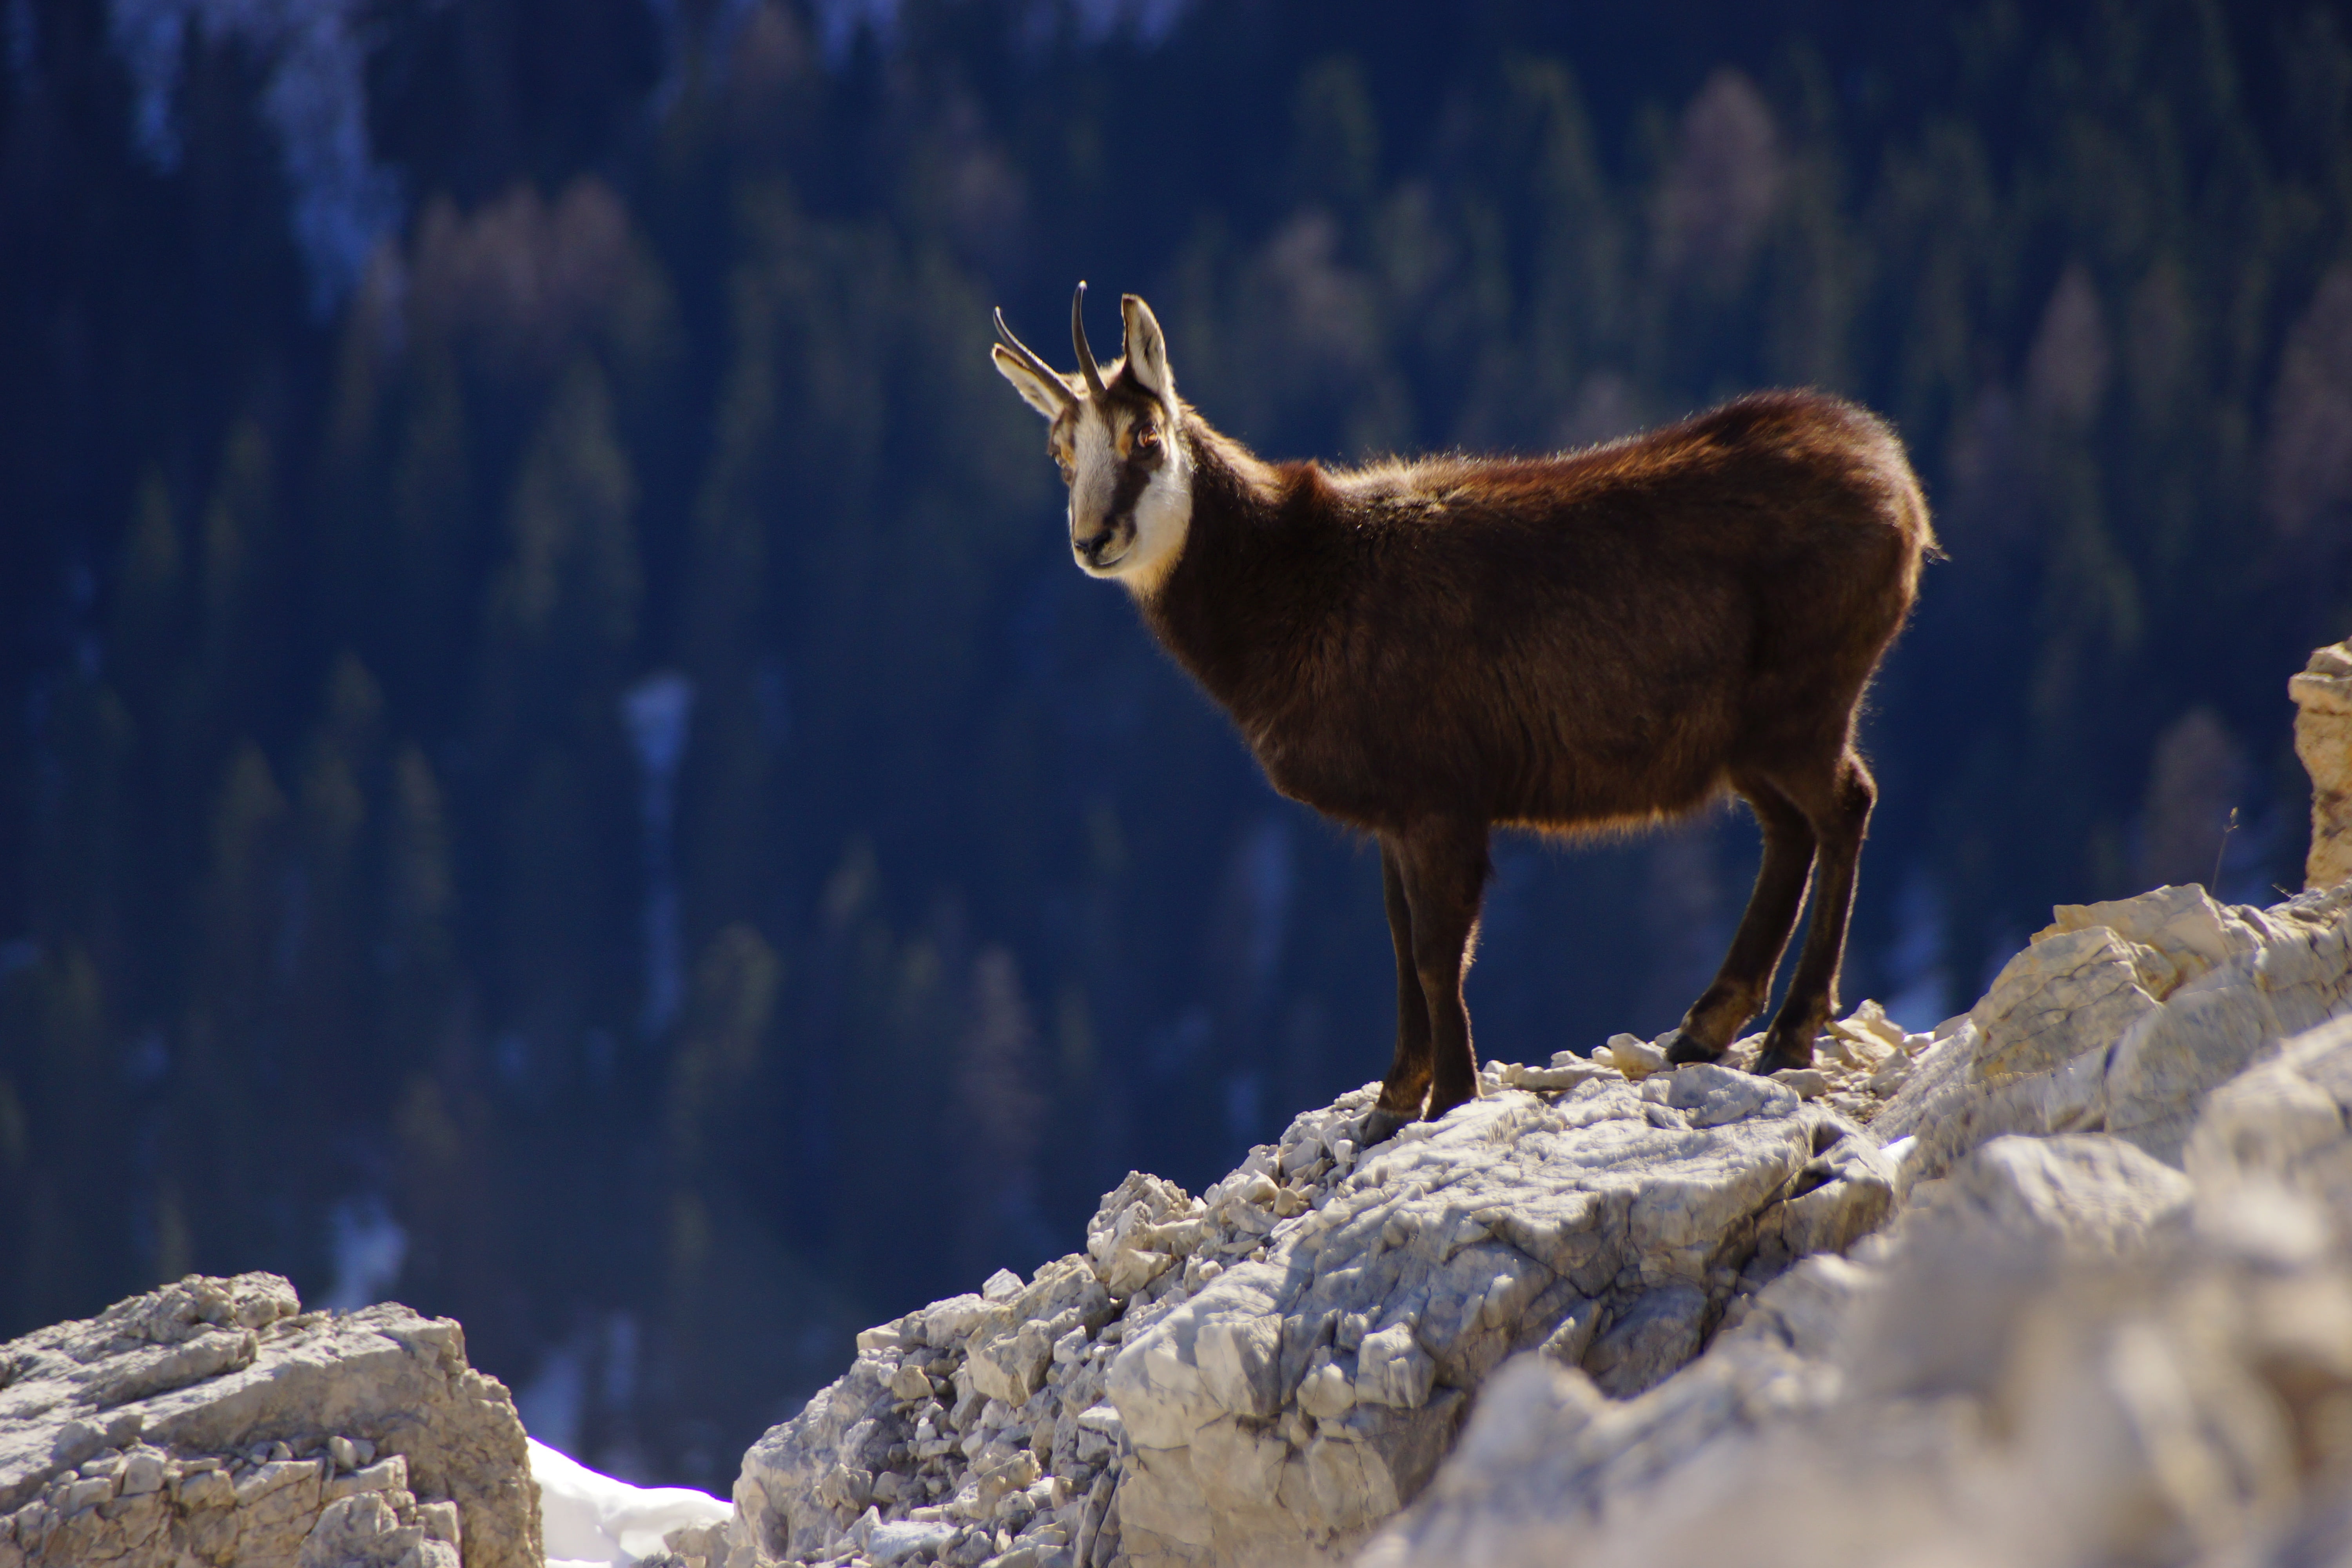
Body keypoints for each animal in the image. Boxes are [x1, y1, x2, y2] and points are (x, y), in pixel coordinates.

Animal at [992, 284, 1933, 1143]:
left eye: (1143, 437)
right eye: (1059, 449)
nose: (1093, 540)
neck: (1298, 582)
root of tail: (1895, 478)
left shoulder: (1442, 796)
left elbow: (1439, 951)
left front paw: (1449, 1096)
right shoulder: (1392, 810)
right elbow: (1400, 943)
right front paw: (1393, 1101)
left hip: (1808, 697)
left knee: (1845, 805)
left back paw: (1792, 1031)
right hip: (1747, 736)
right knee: (1790, 828)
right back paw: (1709, 1024)